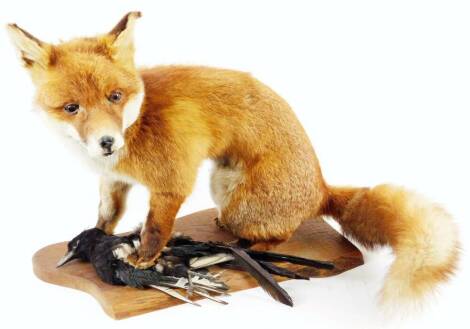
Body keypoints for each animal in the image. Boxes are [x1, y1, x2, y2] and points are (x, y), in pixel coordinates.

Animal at [8, 11, 458, 306]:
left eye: (114, 97)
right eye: (72, 108)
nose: (106, 142)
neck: (135, 127)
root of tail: (321, 187)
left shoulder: (172, 182)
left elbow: (154, 228)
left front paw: (144, 258)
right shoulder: (113, 180)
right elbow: (107, 215)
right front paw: (99, 237)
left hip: (240, 200)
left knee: (279, 234)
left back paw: (244, 244)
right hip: (221, 183)